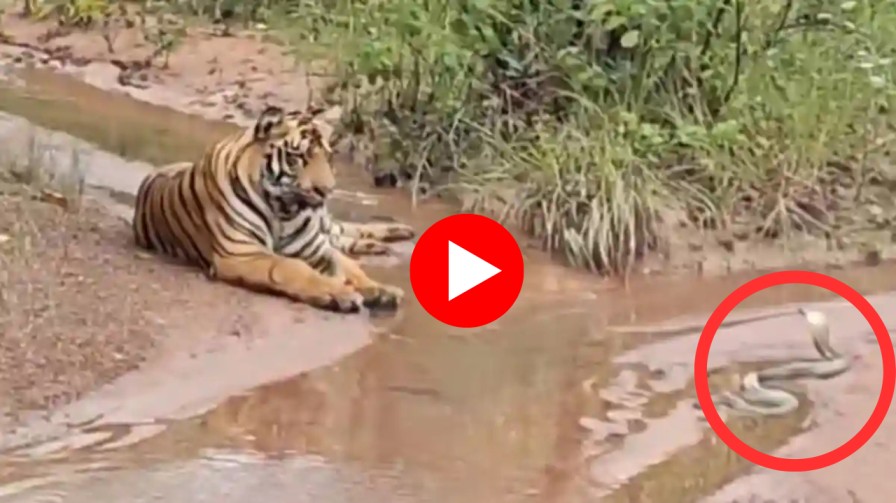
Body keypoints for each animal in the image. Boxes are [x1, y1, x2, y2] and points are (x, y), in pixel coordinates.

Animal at [132, 104, 411, 314]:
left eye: (328, 157)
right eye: (299, 158)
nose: (327, 190)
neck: (284, 209)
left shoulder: (315, 248)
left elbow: (348, 267)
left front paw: (376, 289)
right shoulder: (241, 253)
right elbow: (292, 267)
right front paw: (341, 293)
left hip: (328, 230)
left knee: (346, 237)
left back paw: (397, 240)